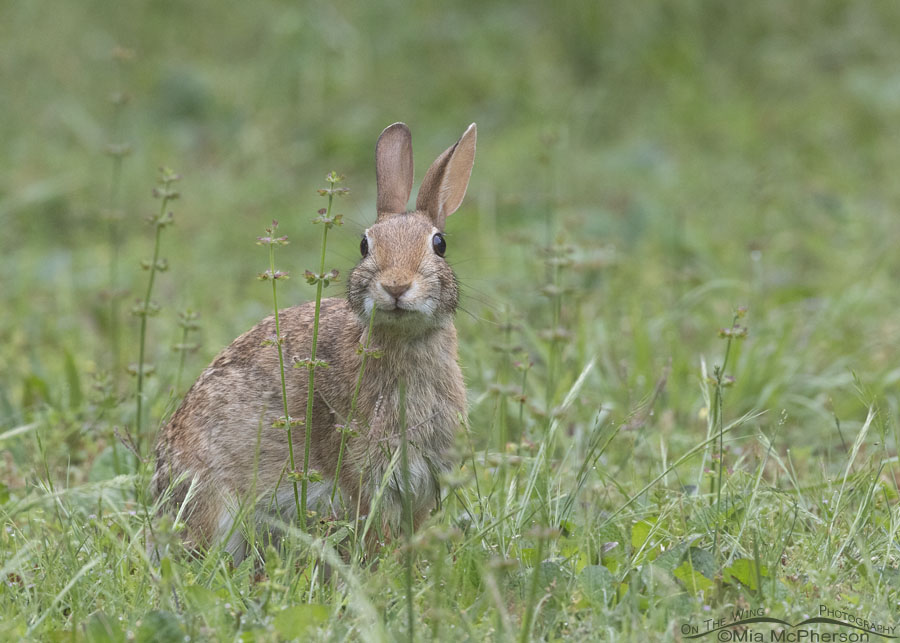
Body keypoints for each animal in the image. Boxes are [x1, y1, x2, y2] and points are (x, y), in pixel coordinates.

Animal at [149, 122, 478, 564]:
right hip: (217, 504)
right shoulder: (364, 472)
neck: (404, 340)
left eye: (439, 244)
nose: (396, 286)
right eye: (364, 245)